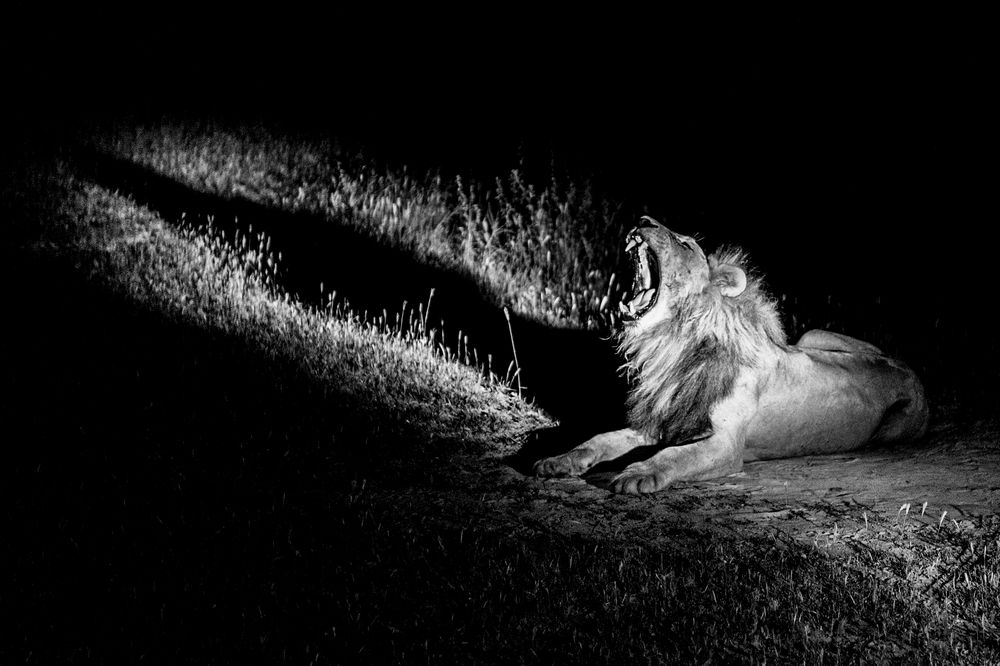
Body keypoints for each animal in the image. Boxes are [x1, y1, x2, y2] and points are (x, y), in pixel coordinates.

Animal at [532, 218, 928, 492]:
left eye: (685, 244)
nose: (644, 220)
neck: (675, 348)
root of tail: (908, 367)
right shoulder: (659, 424)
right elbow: (599, 439)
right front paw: (558, 460)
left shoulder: (725, 443)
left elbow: (673, 455)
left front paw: (639, 474)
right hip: (810, 335)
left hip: (892, 429)